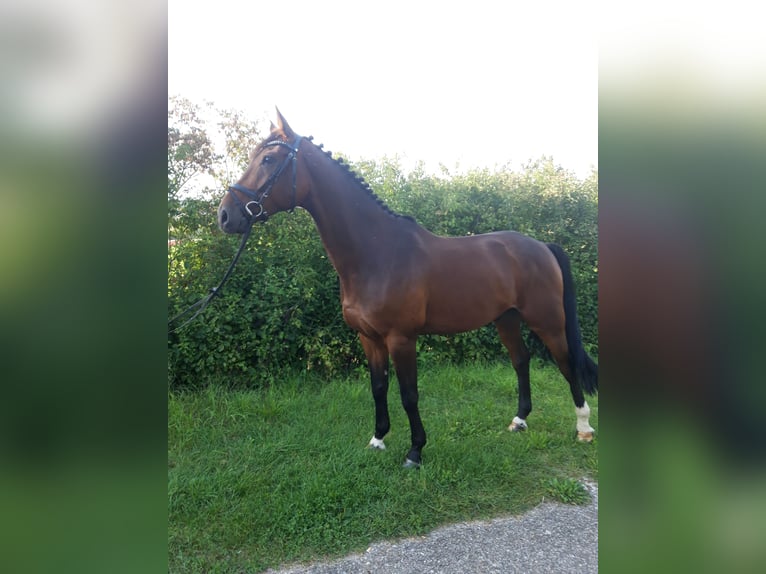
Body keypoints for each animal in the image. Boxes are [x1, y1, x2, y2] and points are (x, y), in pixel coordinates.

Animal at [217, 110, 598, 468]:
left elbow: (408, 394)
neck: (376, 253)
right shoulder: (368, 338)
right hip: (507, 319)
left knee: (566, 363)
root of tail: (542, 246)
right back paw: (519, 421)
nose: (225, 216)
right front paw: (378, 439)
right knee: (521, 360)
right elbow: (378, 387)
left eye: (269, 159)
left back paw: (583, 428)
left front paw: (415, 451)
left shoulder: (401, 338)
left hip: (547, 321)